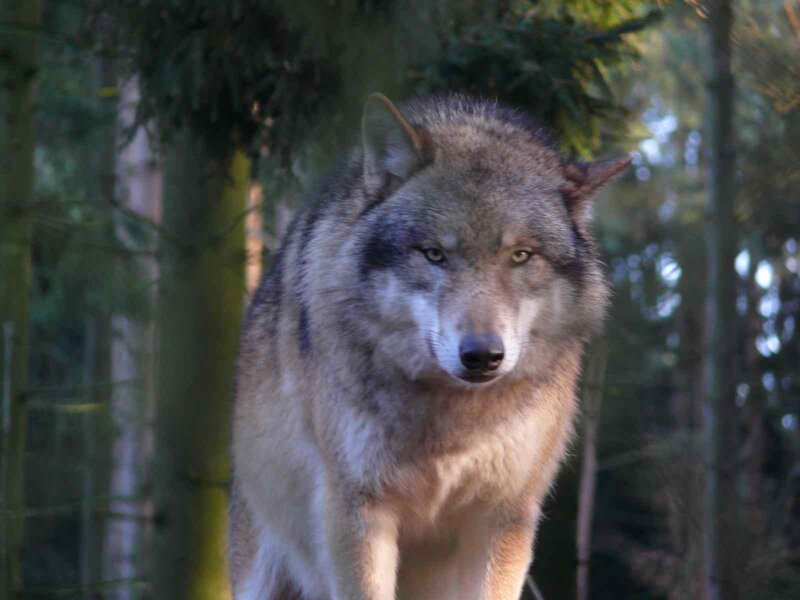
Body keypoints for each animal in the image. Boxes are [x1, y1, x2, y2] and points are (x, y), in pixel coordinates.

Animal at [229, 93, 629, 600]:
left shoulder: (505, 517)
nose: (482, 355)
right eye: (434, 254)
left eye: (521, 255)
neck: (452, 423)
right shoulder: (358, 510)